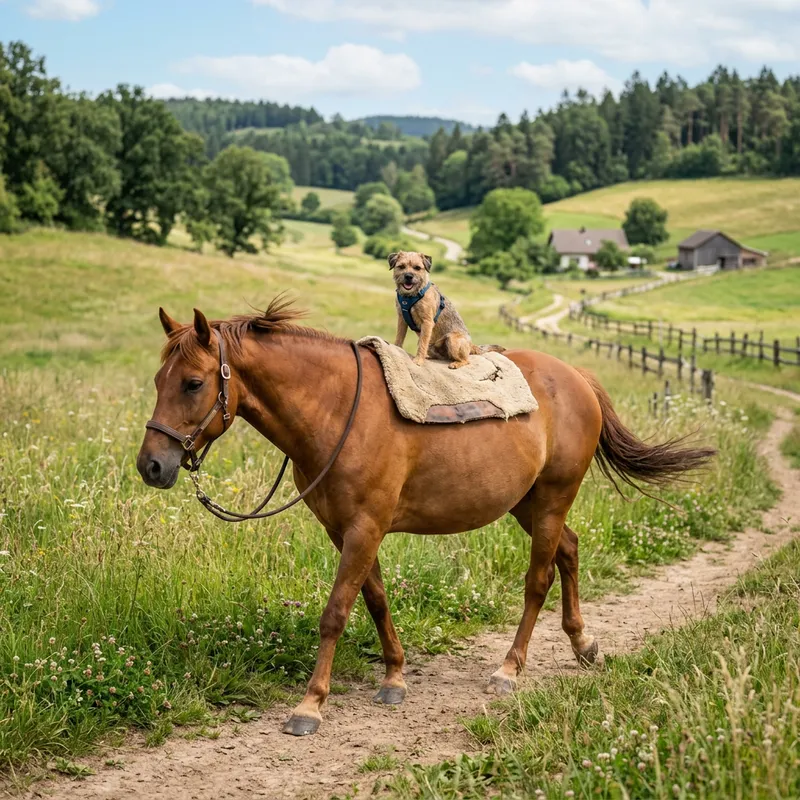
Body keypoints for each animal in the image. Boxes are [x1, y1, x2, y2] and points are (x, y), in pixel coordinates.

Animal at [137, 297, 714, 737]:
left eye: (193, 383)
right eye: (159, 379)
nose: (152, 465)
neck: (337, 408)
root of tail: (575, 377)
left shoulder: (365, 528)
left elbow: (336, 612)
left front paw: (310, 705)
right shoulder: (346, 530)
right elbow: (375, 600)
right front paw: (394, 678)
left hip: (551, 498)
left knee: (539, 579)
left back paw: (510, 668)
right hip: (528, 503)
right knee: (569, 551)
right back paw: (583, 644)